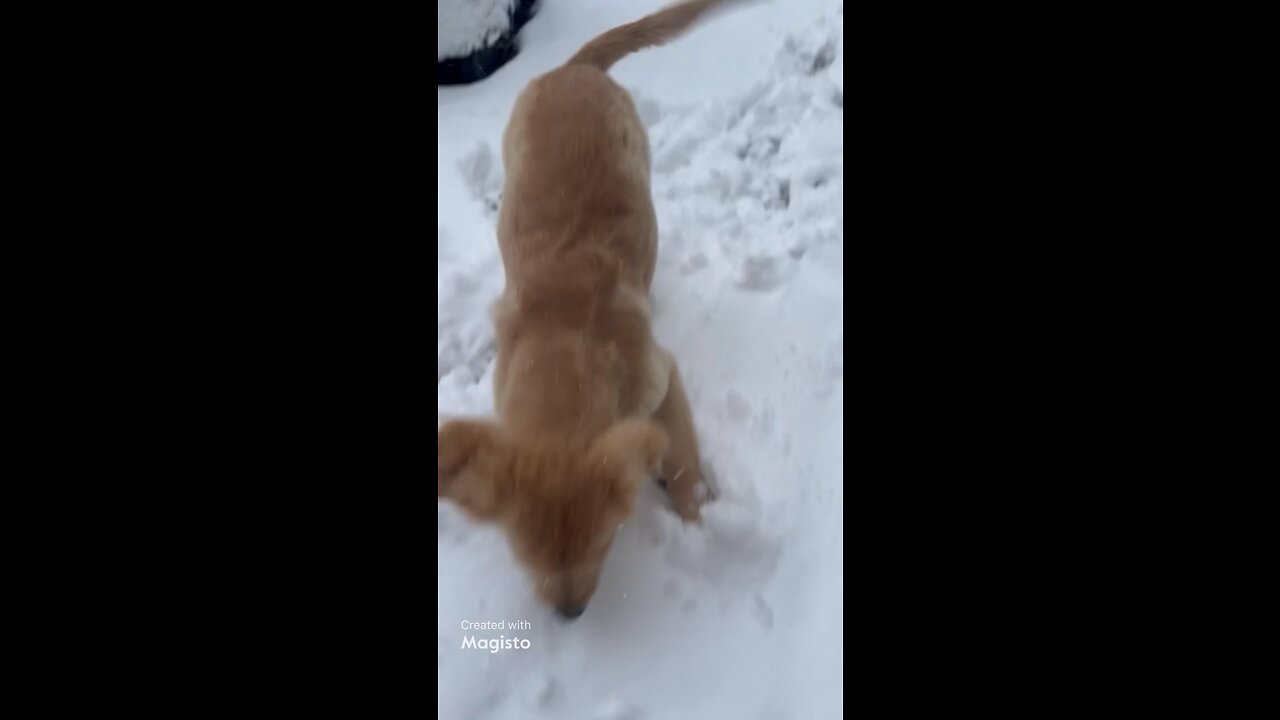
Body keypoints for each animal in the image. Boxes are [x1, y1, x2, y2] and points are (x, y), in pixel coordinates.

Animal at [437, 0, 727, 617]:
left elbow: (680, 453)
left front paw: (694, 516)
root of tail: (571, 67)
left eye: (605, 542)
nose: (569, 616)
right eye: (521, 556)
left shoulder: (662, 377)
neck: (562, 345)